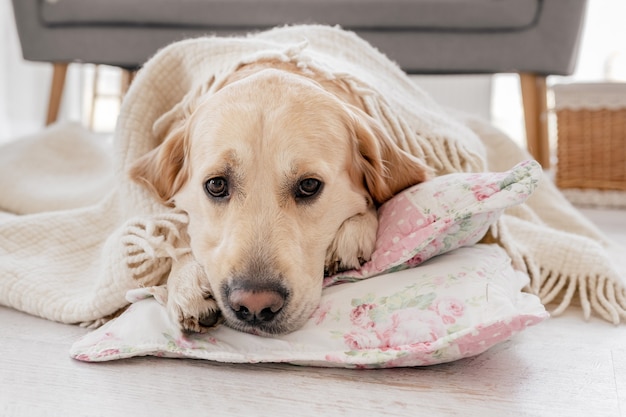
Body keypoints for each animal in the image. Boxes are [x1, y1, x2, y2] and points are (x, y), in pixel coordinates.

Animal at [129, 61, 426, 334]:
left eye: (309, 185)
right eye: (216, 184)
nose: (254, 306)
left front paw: (353, 233)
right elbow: (179, 229)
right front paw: (187, 282)